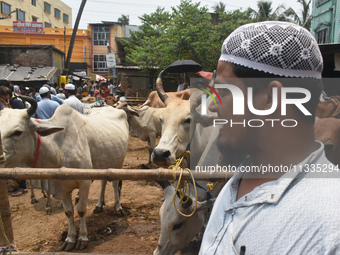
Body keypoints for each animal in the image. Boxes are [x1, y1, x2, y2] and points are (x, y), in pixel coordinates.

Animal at [0, 96, 129, 250]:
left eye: (17, 132)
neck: (58, 147)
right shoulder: (61, 186)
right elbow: (69, 212)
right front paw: (70, 239)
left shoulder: (84, 182)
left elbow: (81, 209)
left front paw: (83, 238)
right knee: (104, 182)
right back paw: (99, 206)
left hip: (118, 163)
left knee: (115, 184)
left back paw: (118, 207)